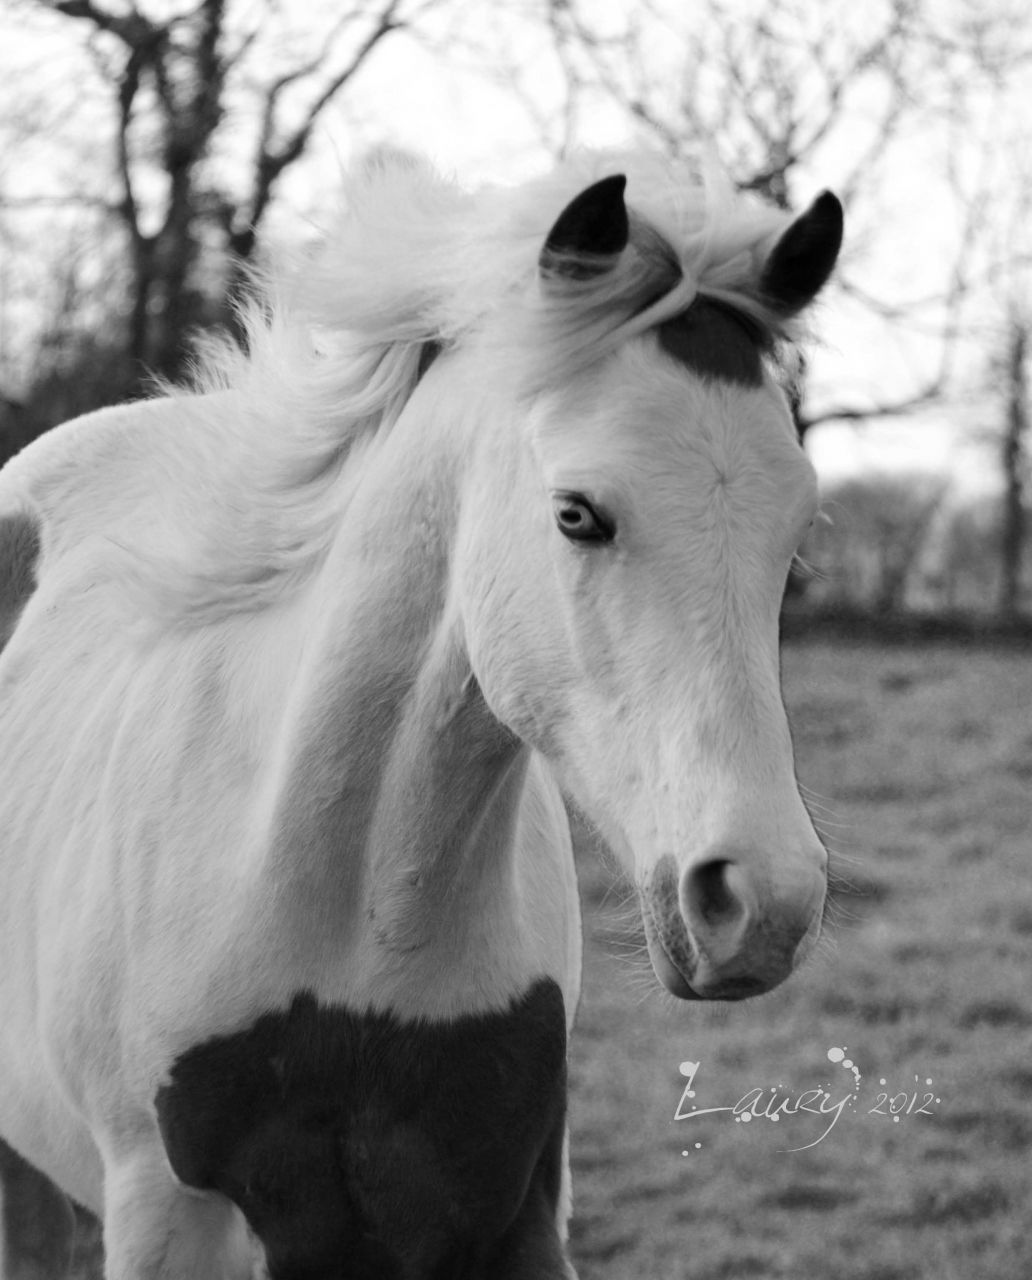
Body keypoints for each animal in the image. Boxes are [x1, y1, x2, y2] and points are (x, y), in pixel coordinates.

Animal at [0, 147, 841, 1279]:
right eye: (577, 511)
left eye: (796, 531)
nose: (764, 900)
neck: (354, 914)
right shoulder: (166, 1211)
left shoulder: (509, 1209)